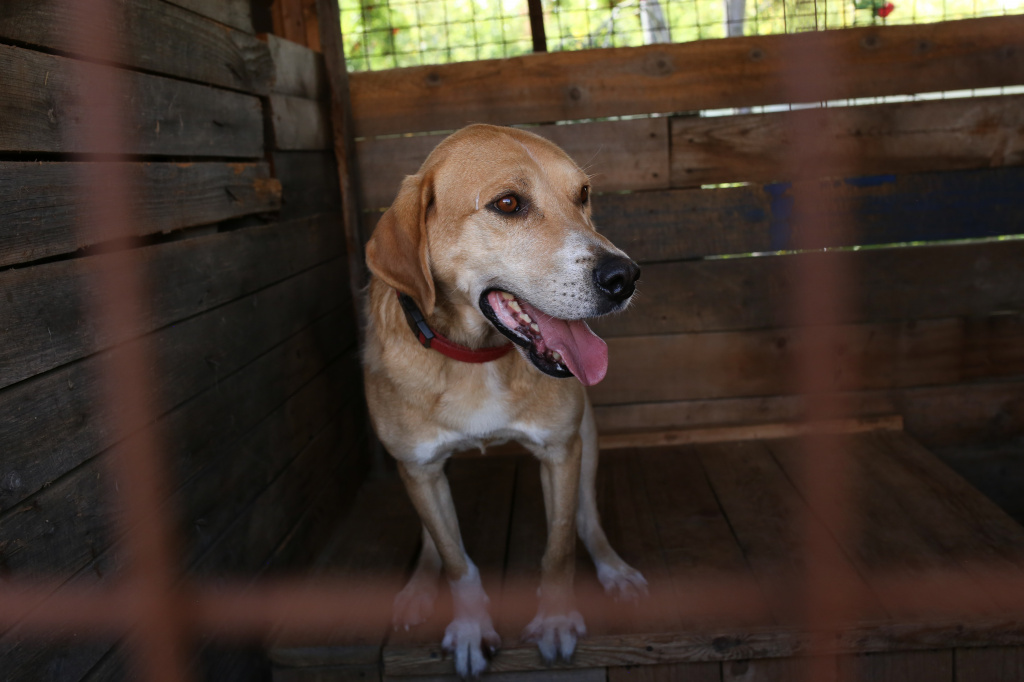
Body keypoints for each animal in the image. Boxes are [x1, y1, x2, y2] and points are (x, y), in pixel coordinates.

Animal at [364, 123, 643, 675]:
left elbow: (560, 546)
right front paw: (471, 627)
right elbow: (456, 561)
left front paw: (556, 620)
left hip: (587, 437)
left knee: (588, 518)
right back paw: (417, 589)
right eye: (509, 203)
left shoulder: (561, 450)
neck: (477, 361)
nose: (624, 277)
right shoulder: (420, 467)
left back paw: (614, 570)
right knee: (432, 539)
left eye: (583, 195)